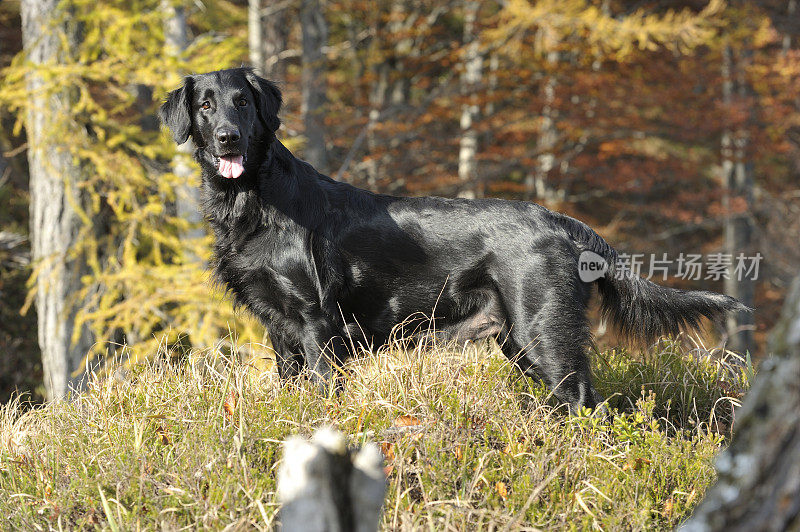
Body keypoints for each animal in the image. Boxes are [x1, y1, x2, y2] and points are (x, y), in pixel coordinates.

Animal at [159, 67, 748, 412]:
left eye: (243, 102)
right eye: (206, 105)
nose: (228, 138)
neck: (254, 200)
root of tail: (563, 222)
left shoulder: (316, 323)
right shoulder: (280, 328)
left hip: (544, 331)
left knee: (585, 400)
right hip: (517, 339)